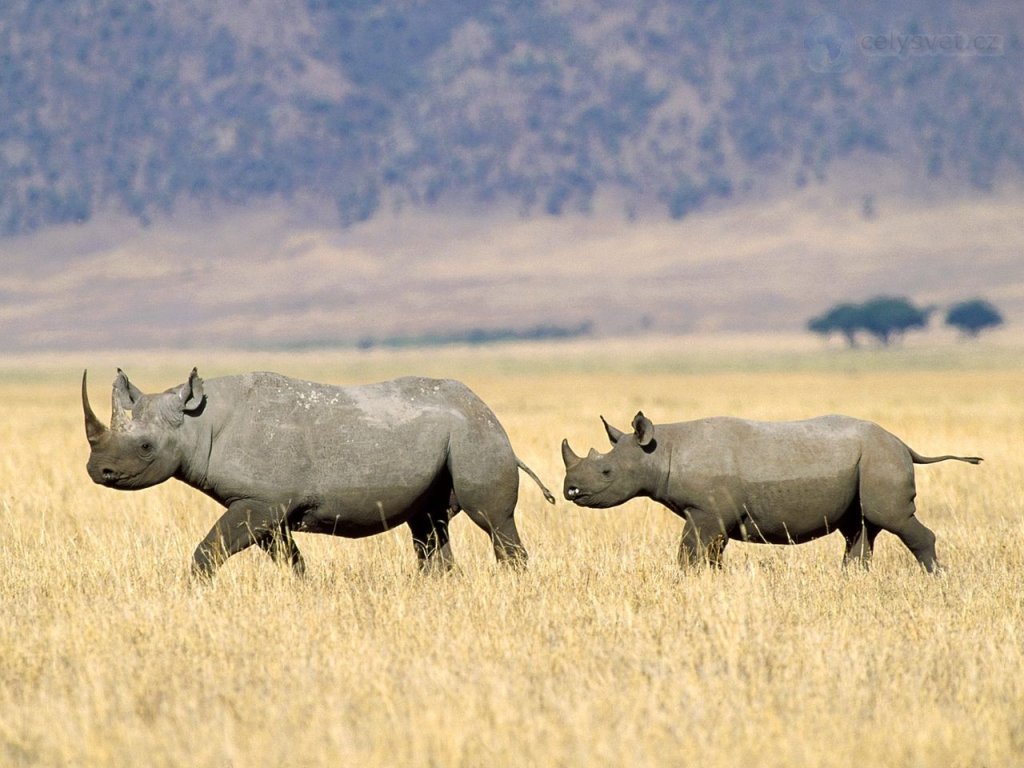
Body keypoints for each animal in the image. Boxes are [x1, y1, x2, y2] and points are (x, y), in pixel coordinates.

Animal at [83, 368, 555, 577]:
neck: (199, 422)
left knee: (491, 520)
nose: (97, 471)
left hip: (479, 435)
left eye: (146, 448)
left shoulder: (262, 501)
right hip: (453, 436)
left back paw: (513, 582)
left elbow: (209, 550)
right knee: (428, 523)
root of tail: (487, 411)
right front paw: (302, 588)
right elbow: (288, 557)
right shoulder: (263, 505)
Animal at [561, 412, 981, 572]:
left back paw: (936, 578)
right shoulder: (712, 514)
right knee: (859, 528)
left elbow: (690, 551)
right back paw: (851, 580)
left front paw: (687, 579)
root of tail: (903, 443)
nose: (570, 491)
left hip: (881, 459)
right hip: (868, 461)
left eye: (606, 471)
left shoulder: (706, 510)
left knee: (892, 518)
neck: (661, 450)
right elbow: (708, 553)